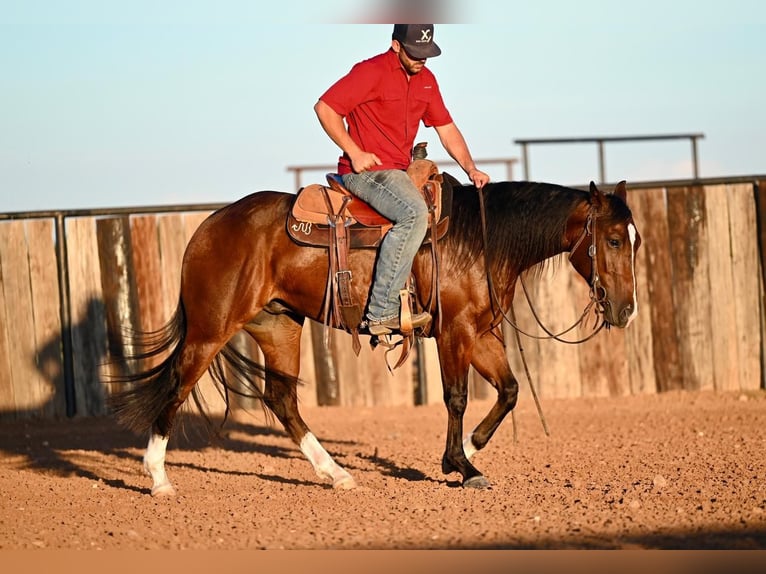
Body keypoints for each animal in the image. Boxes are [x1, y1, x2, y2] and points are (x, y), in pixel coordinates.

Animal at [111, 173, 640, 498]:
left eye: (635, 241)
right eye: (613, 240)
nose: (627, 310)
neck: (482, 239)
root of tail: (209, 225)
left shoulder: (482, 333)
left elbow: (509, 391)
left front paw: (467, 451)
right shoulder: (455, 332)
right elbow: (456, 397)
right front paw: (462, 466)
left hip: (278, 326)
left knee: (281, 398)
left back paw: (336, 474)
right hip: (211, 328)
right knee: (177, 385)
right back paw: (158, 479)